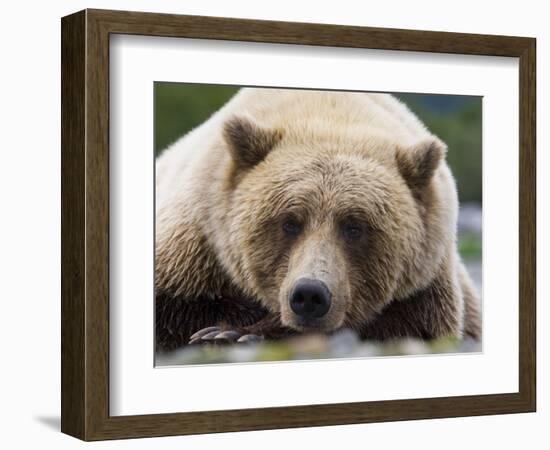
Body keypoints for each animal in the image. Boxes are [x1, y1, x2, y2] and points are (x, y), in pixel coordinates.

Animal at [155, 86, 484, 350]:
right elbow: (171, 307)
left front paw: (237, 333)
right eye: (289, 222)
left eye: (354, 226)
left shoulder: (423, 288)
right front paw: (221, 331)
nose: (310, 295)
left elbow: (404, 326)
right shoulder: (198, 244)